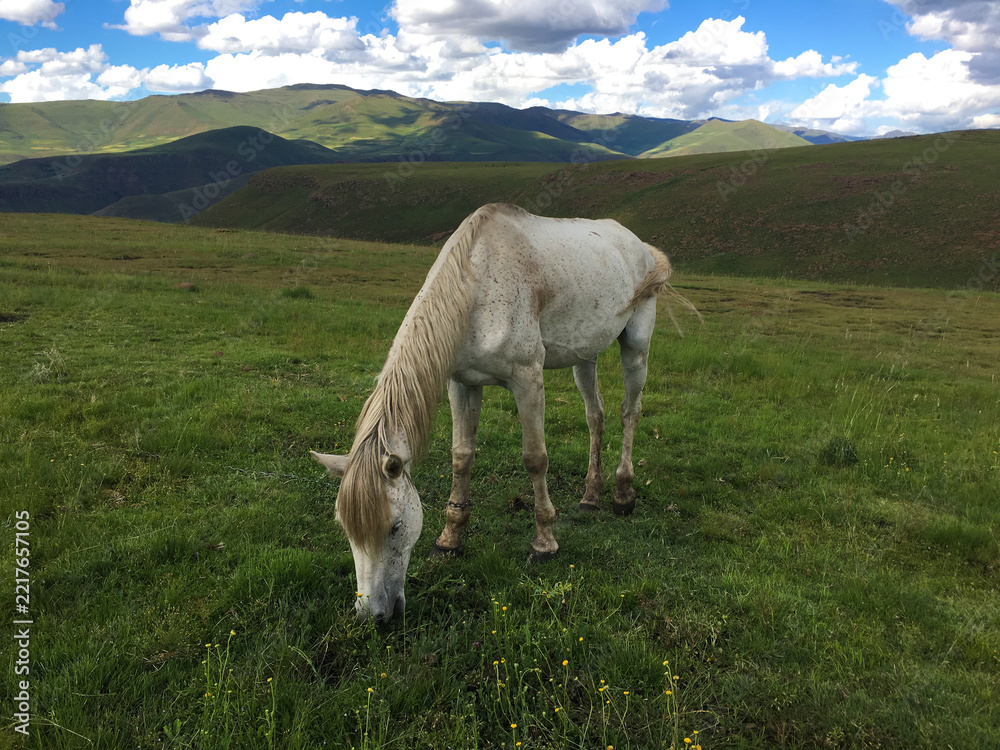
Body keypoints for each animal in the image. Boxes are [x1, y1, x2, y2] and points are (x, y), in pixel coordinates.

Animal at [312, 203, 684, 621]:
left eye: (395, 526)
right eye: (346, 529)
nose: (373, 616)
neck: (474, 290)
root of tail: (640, 246)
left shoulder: (528, 379)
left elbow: (535, 459)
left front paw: (544, 543)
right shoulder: (462, 383)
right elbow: (461, 457)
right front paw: (449, 540)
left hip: (636, 344)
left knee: (628, 412)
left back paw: (622, 495)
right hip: (584, 355)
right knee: (595, 415)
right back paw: (590, 497)